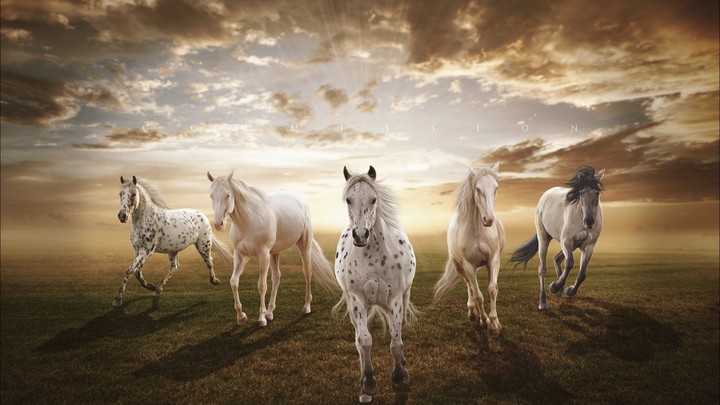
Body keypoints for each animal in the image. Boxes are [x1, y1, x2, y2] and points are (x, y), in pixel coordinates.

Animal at [113, 176, 231, 307]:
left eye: (133, 194)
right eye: (120, 193)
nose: (122, 216)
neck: (145, 219)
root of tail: (202, 215)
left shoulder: (147, 250)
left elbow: (129, 270)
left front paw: (117, 299)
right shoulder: (137, 250)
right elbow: (137, 271)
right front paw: (151, 286)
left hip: (203, 245)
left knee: (209, 261)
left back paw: (215, 281)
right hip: (173, 250)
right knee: (174, 266)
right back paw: (158, 290)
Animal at [207, 170, 337, 327]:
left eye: (227, 195)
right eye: (211, 196)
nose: (218, 224)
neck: (249, 221)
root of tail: (301, 202)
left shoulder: (263, 254)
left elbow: (262, 285)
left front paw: (261, 319)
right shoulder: (240, 255)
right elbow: (234, 282)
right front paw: (241, 317)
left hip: (304, 246)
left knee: (307, 272)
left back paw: (306, 307)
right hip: (274, 253)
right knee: (277, 277)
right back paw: (270, 312)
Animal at [334, 166, 418, 403]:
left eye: (373, 199)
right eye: (348, 200)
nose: (361, 235)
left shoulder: (395, 298)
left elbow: (396, 342)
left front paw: (399, 375)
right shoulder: (357, 300)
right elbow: (364, 341)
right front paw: (369, 383)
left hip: (401, 299)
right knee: (358, 340)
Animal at [434, 163, 505, 338]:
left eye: (496, 188)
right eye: (478, 189)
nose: (488, 219)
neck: (478, 232)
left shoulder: (493, 260)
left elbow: (492, 289)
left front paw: (494, 325)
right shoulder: (469, 266)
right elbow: (478, 295)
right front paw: (485, 322)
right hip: (460, 267)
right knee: (469, 287)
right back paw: (473, 314)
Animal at [509, 166, 605, 310]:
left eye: (597, 193)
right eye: (580, 193)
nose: (589, 221)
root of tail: (545, 194)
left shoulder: (589, 245)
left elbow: (582, 273)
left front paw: (568, 290)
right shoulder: (566, 241)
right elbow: (569, 263)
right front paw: (554, 286)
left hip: (574, 245)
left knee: (557, 258)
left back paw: (560, 290)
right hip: (544, 238)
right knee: (542, 269)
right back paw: (543, 302)